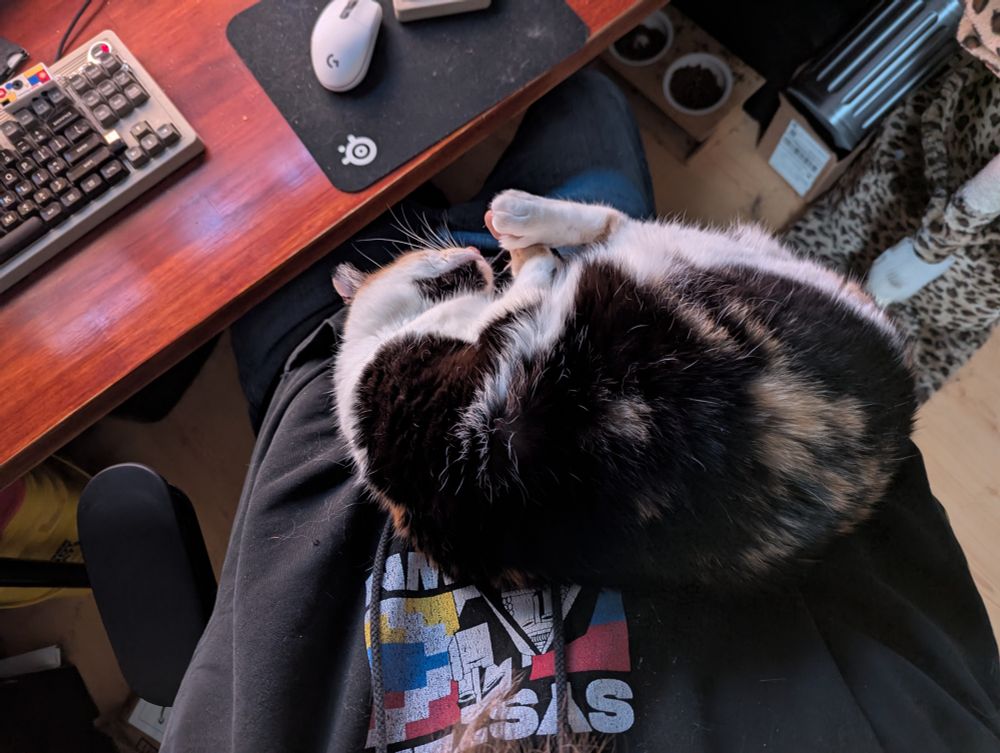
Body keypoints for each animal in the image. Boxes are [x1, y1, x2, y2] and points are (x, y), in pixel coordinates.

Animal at [332, 190, 916, 590]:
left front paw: (516, 259)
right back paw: (518, 219)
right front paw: (526, 259)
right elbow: (538, 278)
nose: (476, 257)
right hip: (671, 262)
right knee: (617, 225)